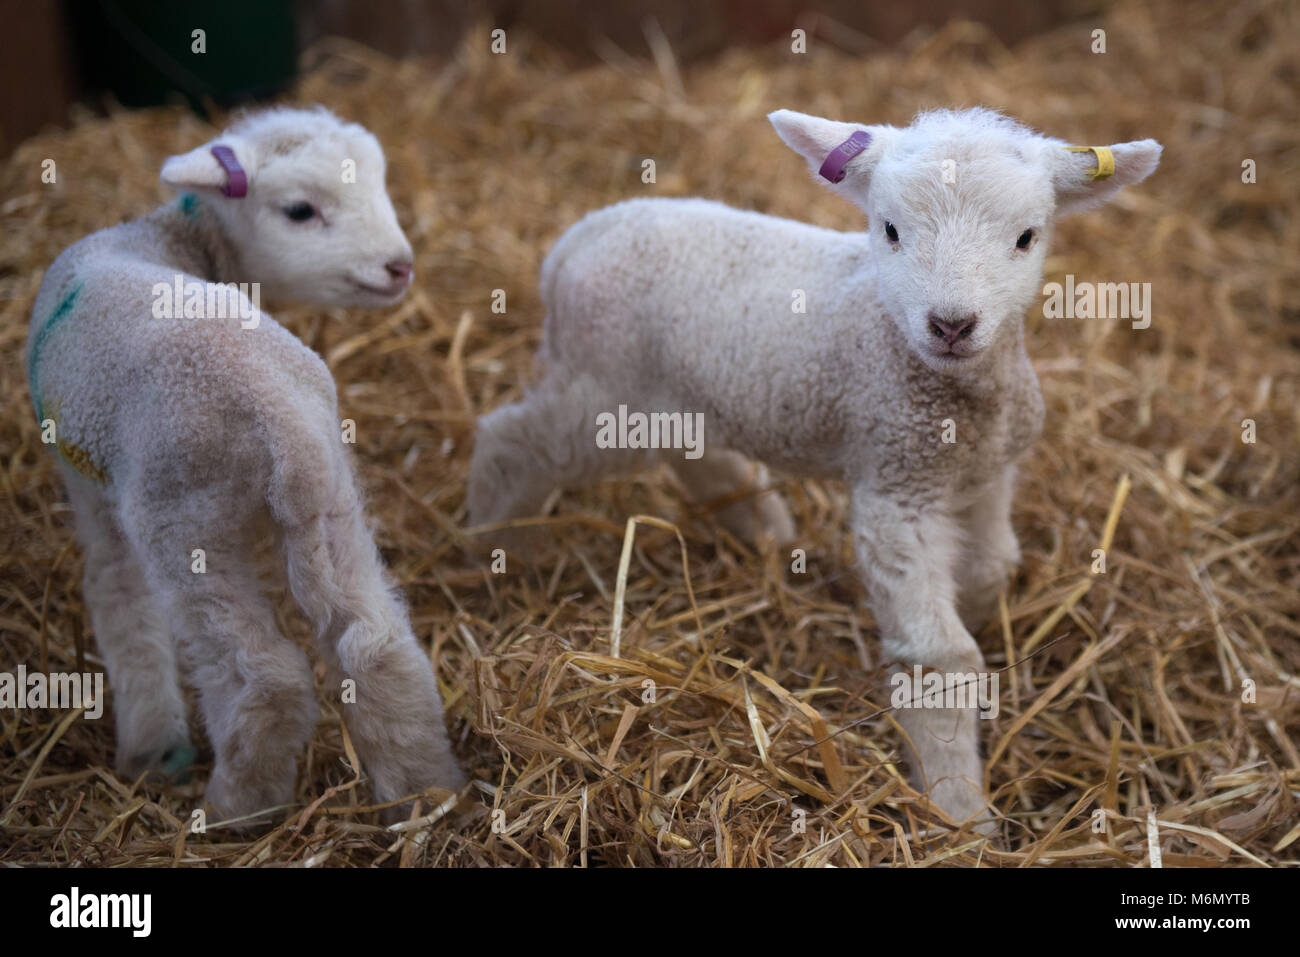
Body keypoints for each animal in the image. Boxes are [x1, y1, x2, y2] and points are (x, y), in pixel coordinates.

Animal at [27, 107, 464, 824]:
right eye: (300, 210)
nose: (399, 267)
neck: (167, 239)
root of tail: (279, 418)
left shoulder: (96, 494)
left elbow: (120, 603)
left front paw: (150, 750)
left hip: (183, 522)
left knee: (265, 676)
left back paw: (236, 806)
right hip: (334, 501)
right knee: (377, 644)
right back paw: (425, 794)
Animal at [466, 107, 1161, 829]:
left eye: (1027, 237)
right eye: (890, 230)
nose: (951, 324)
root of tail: (572, 242)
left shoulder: (987, 473)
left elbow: (994, 567)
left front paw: (977, 605)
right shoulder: (895, 487)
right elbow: (937, 657)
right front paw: (957, 810)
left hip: (662, 396)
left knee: (687, 450)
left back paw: (761, 524)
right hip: (601, 392)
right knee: (512, 440)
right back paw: (495, 543)